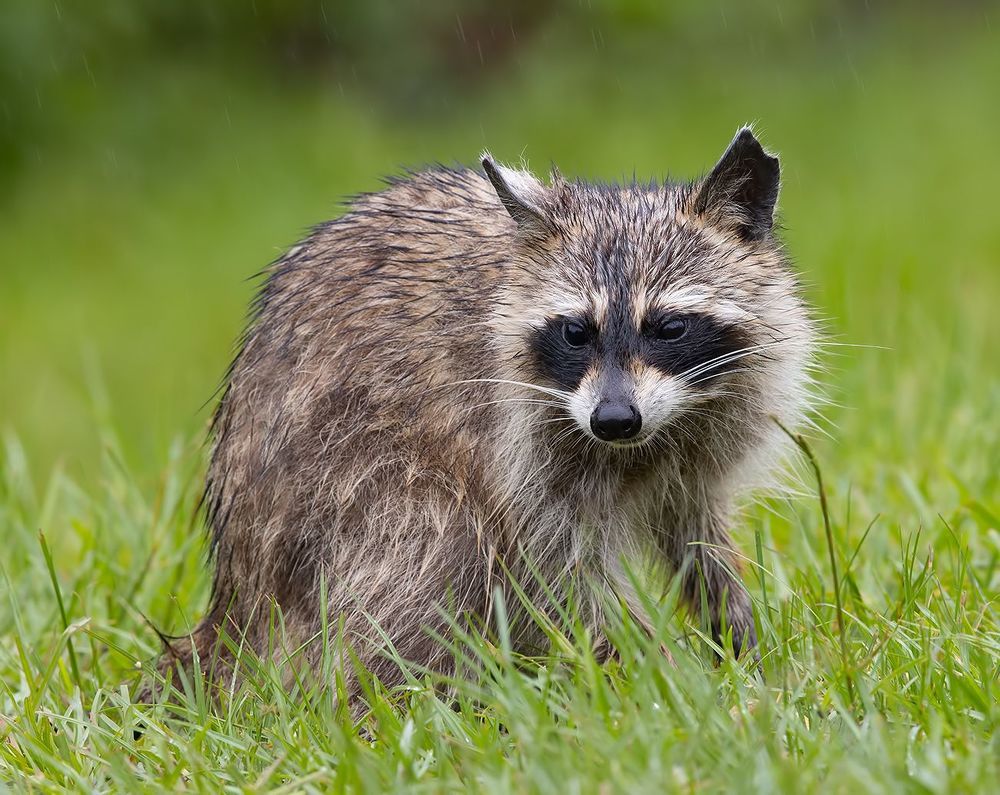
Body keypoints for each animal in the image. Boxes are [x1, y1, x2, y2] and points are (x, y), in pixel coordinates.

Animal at [167, 127, 814, 695]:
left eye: (670, 327)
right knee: (432, 543)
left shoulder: (700, 450)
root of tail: (237, 600)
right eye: (576, 332)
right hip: (342, 486)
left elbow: (698, 537)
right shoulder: (517, 444)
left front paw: (739, 640)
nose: (612, 420)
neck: (649, 438)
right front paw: (664, 675)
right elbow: (556, 571)